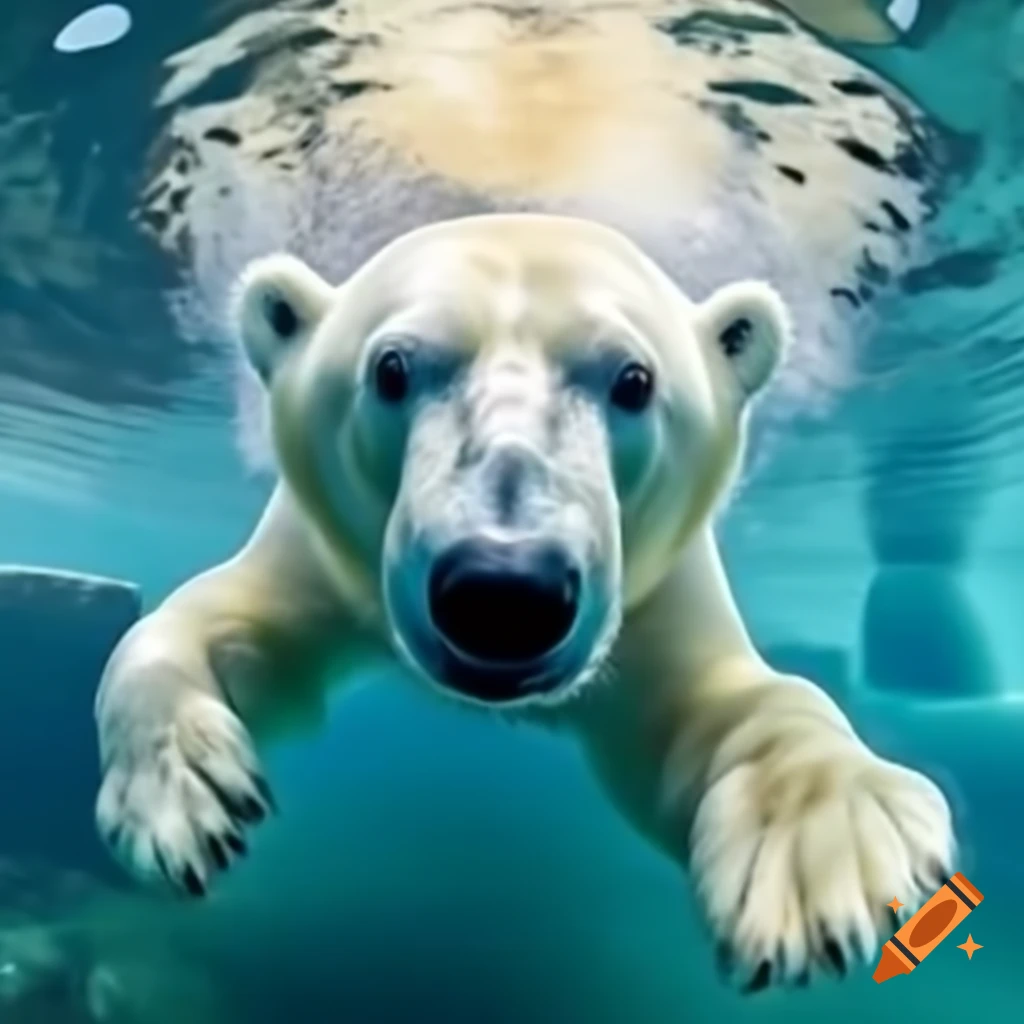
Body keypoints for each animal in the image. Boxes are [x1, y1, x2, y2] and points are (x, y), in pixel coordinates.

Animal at [94, 212, 955, 992]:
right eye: (391, 369)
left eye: (634, 380)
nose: (505, 590)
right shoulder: (325, 552)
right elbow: (231, 632)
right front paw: (183, 801)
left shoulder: (655, 590)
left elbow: (709, 712)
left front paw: (821, 854)